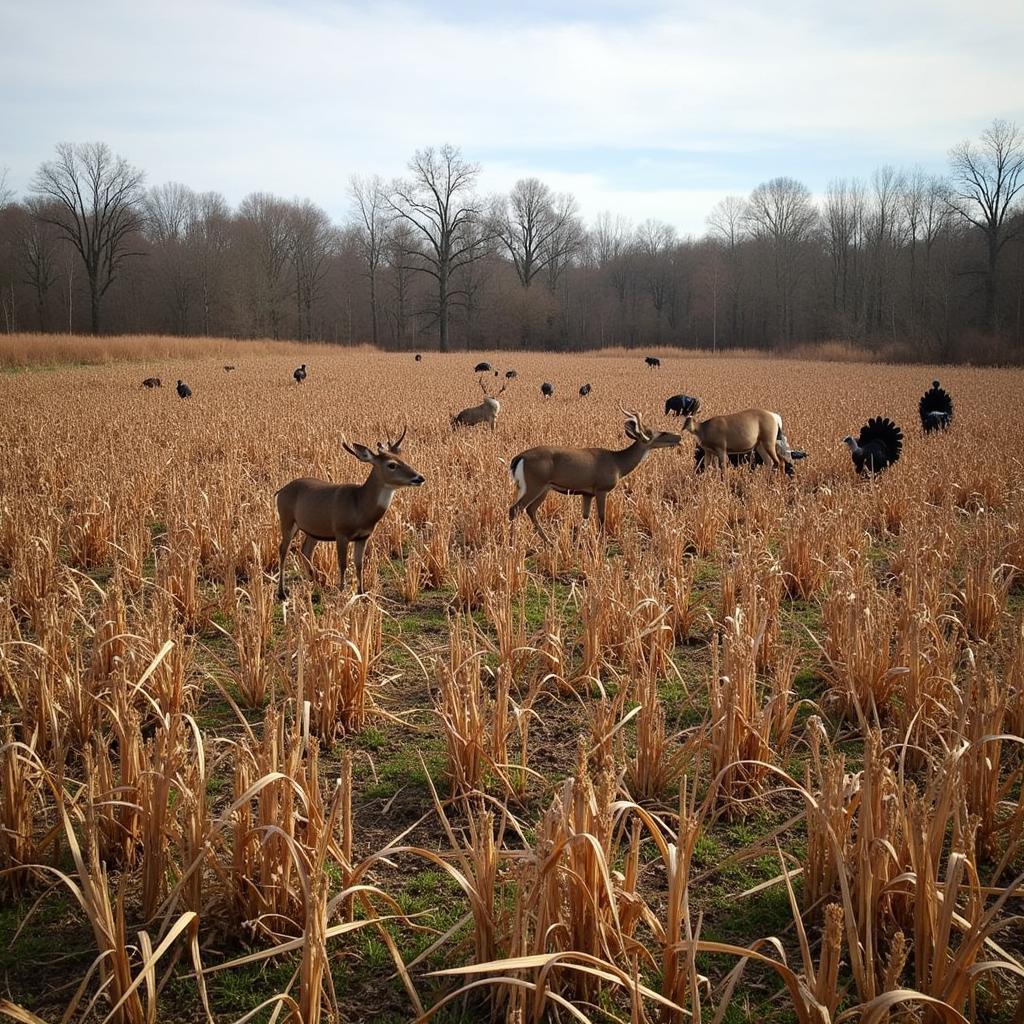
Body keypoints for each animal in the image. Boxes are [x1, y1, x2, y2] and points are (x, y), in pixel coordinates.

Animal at [274, 425, 421, 598]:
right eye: (391, 464)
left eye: (403, 458)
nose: (419, 477)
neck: (360, 507)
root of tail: (280, 491)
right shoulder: (341, 532)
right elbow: (343, 564)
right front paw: (342, 591)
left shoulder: (363, 536)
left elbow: (359, 564)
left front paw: (361, 593)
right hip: (287, 519)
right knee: (283, 550)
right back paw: (282, 592)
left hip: (313, 530)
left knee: (305, 551)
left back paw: (316, 585)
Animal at [509, 403, 684, 544]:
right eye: (660, 433)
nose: (679, 437)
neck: (618, 464)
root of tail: (518, 458)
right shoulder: (601, 488)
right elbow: (601, 517)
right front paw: (601, 544)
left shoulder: (587, 493)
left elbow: (585, 517)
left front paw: (578, 543)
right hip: (535, 484)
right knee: (515, 509)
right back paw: (512, 545)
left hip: (544, 488)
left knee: (530, 510)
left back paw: (549, 542)